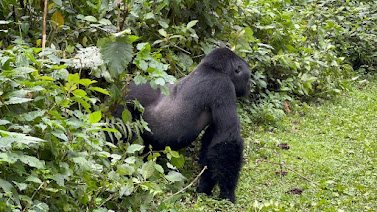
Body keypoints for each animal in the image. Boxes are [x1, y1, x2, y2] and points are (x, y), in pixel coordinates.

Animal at [113, 47, 251, 203]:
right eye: (248, 76)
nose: (250, 85)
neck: (212, 68)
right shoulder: (223, 87)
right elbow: (227, 139)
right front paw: (227, 195)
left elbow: (212, 144)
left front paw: (204, 188)